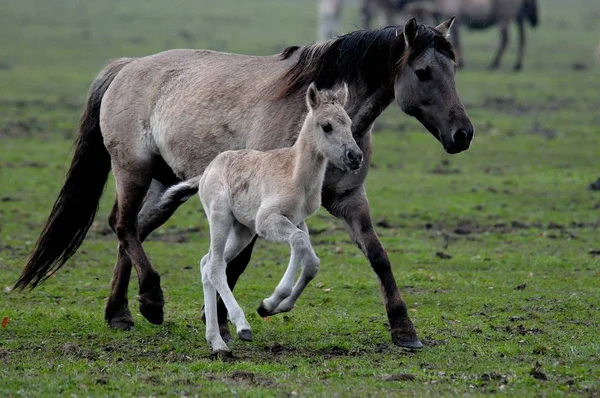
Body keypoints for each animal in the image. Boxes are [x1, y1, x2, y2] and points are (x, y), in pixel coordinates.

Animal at [15, 17, 474, 352]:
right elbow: (237, 263)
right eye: (423, 72)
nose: (463, 134)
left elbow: (378, 257)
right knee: (124, 225)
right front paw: (222, 320)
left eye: (453, 69)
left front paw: (404, 329)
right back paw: (151, 301)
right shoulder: (259, 205)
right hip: (134, 170)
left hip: (166, 186)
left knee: (133, 230)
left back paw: (120, 313)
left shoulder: (348, 199)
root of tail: (126, 66)